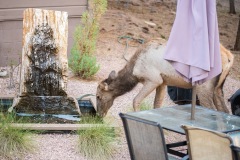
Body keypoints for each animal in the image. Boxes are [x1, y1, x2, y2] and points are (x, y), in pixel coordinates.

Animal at [96, 39, 233, 117]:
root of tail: (230, 57)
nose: (98, 115)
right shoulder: (163, 82)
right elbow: (157, 105)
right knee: (225, 112)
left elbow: (136, 100)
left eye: (98, 96)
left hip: (204, 86)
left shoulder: (153, 79)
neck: (133, 72)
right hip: (218, 89)